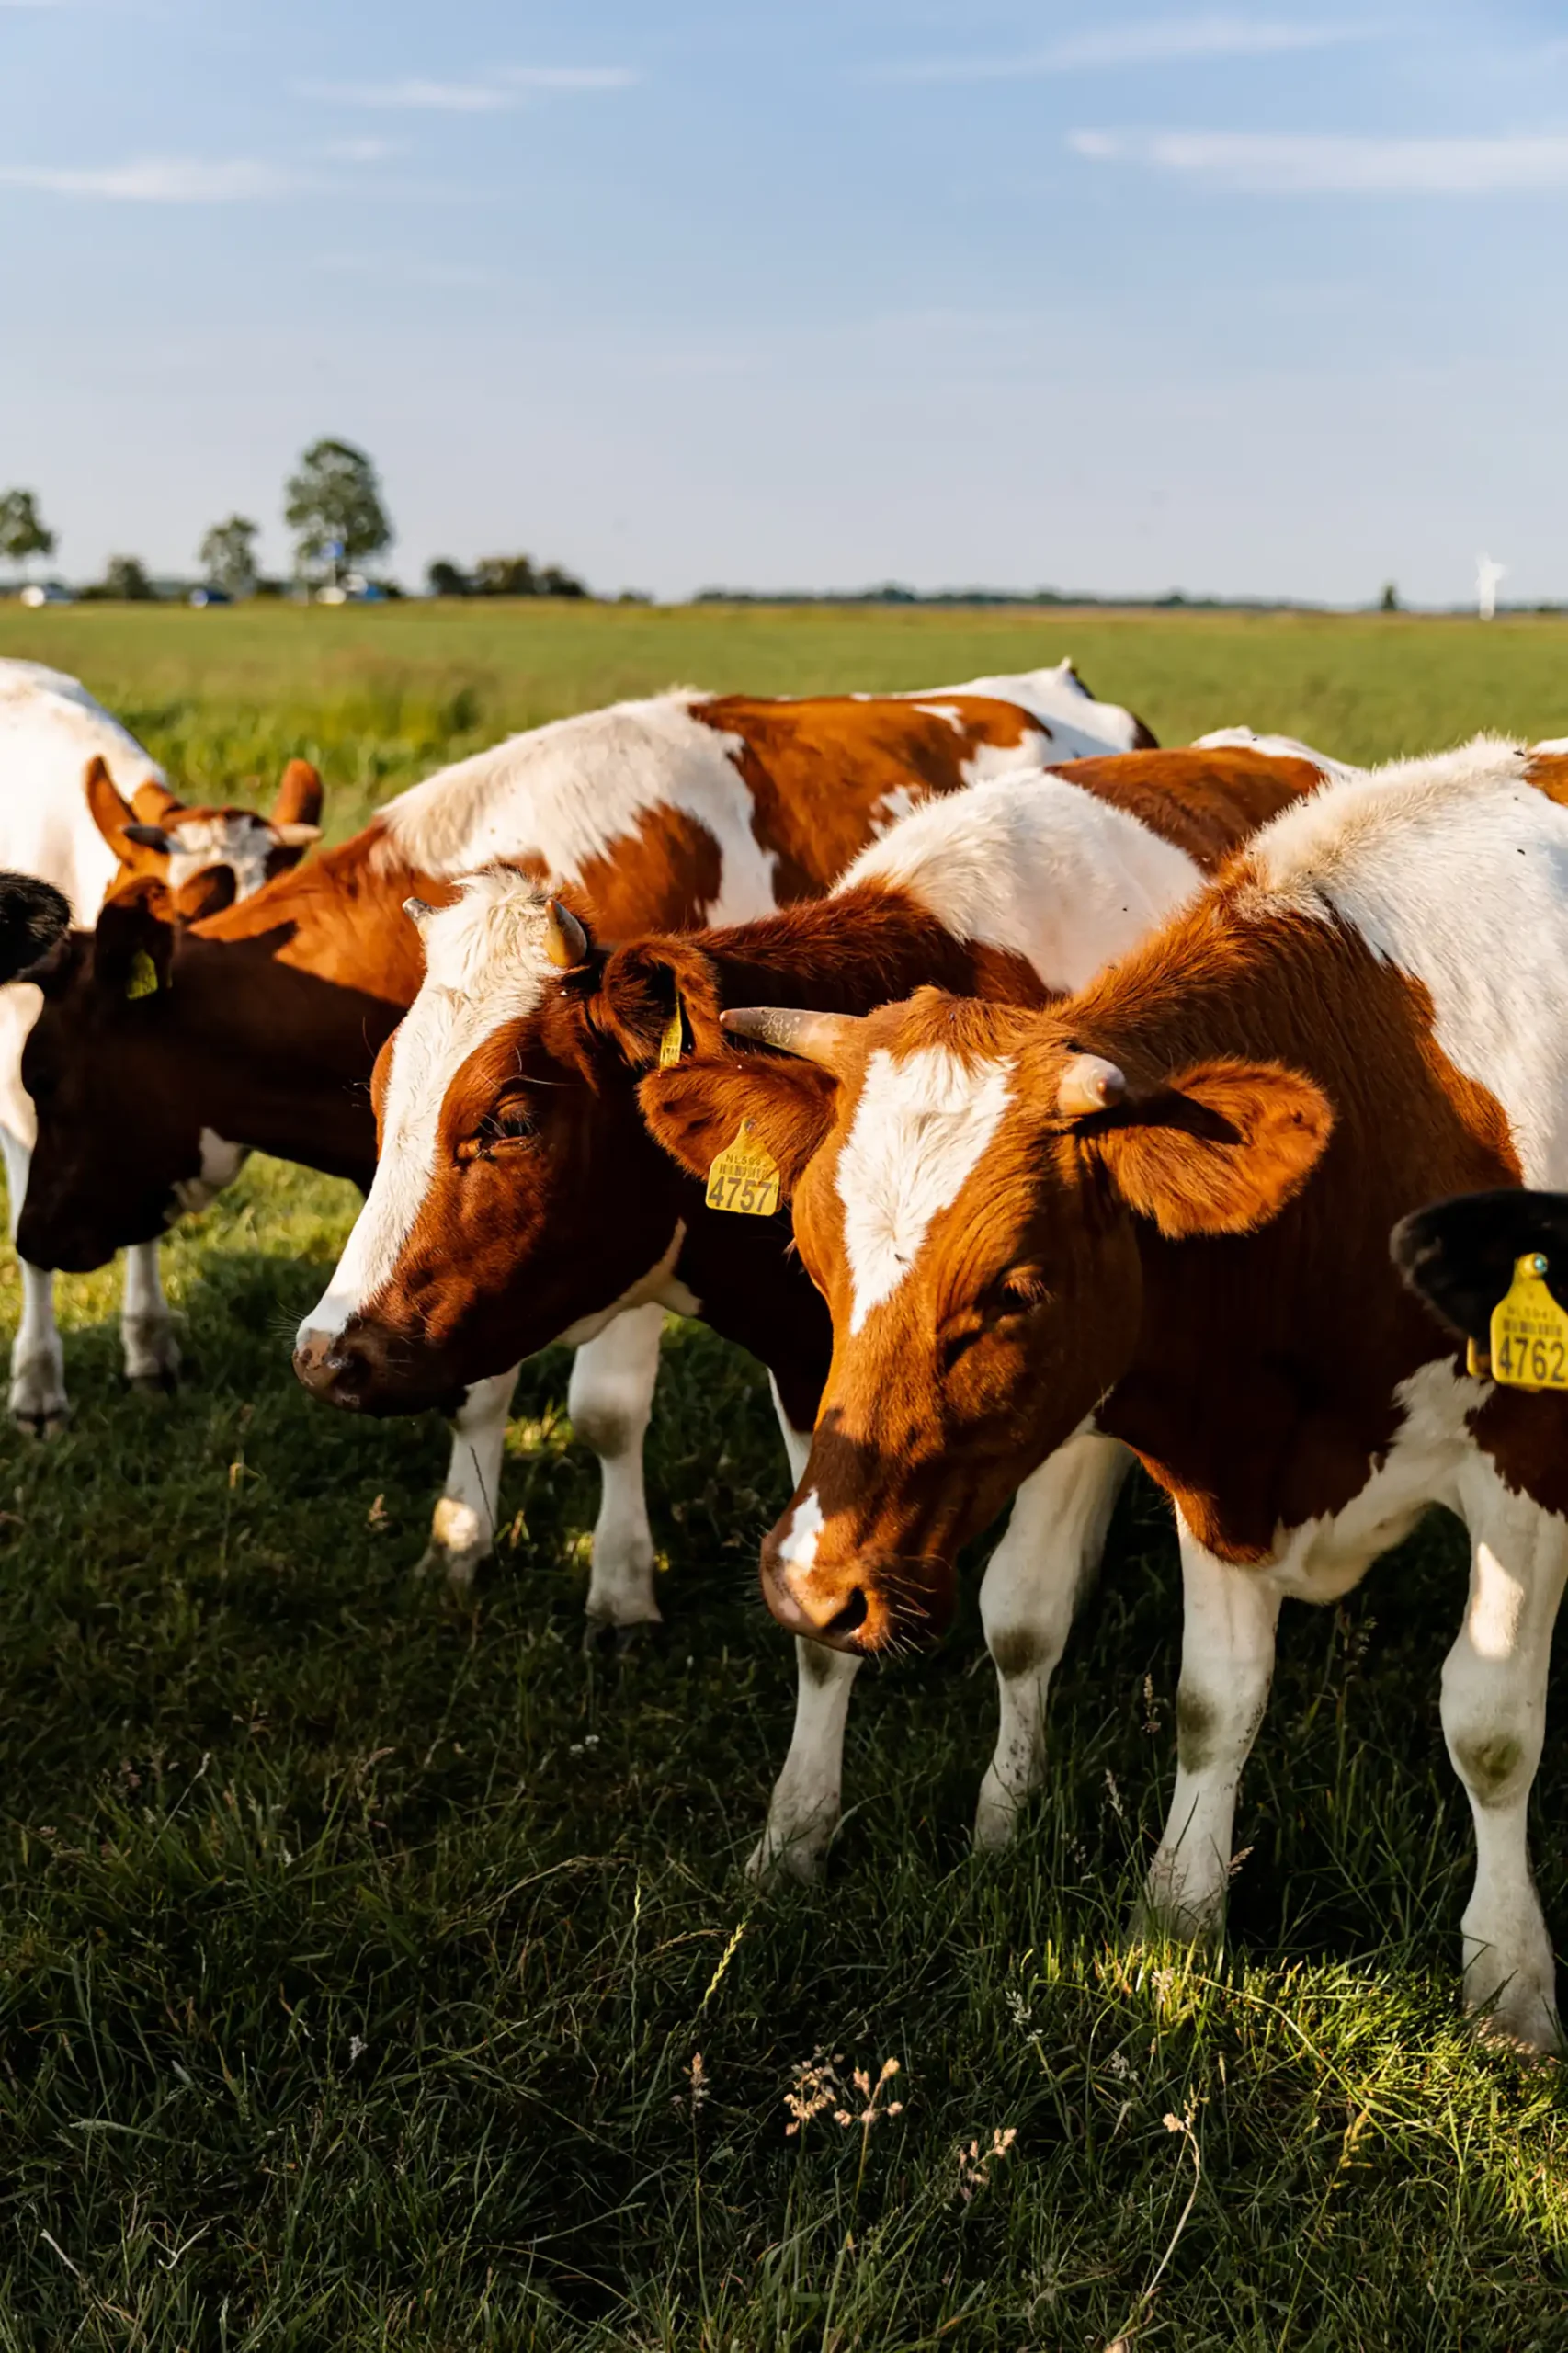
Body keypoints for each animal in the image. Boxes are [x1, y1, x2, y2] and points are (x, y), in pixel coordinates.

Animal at [15, 663, 1134, 1590]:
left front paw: (621, 1588)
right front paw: (459, 1543)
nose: (32, 1236)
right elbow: (473, 1388)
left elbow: (605, 1410)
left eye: (48, 1077)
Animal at [287, 743, 1327, 1882]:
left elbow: (1020, 1617)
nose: (325, 1352)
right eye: (379, 1099)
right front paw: (795, 1831)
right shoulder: (809, 1381)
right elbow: (816, 1630)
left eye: (509, 1119)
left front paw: (1000, 1823)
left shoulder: (1075, 1387)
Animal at [664, 743, 1568, 2052]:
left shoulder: (1524, 1461)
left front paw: (1506, 1982)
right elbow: (1213, 1700)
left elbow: (1490, 1731)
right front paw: (1175, 1921)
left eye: (1014, 1289)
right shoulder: (1219, 1453)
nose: (810, 1584)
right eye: (812, 1256)